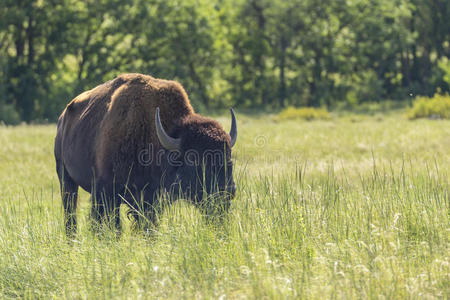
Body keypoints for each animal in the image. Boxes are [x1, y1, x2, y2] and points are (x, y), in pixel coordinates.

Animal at [54, 73, 237, 237]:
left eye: (229, 157)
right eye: (194, 160)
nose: (228, 190)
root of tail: (63, 118)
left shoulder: (151, 200)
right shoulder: (105, 191)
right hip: (66, 180)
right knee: (70, 214)